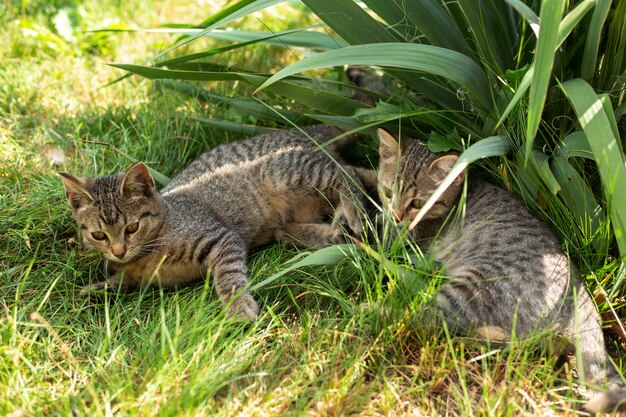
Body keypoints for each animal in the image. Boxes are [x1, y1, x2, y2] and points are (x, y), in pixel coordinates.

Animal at [58, 125, 370, 320]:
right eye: (99, 235)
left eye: (131, 228)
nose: (119, 251)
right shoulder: (132, 276)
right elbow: (118, 282)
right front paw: (89, 291)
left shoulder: (221, 238)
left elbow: (229, 276)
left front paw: (239, 307)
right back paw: (323, 232)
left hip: (284, 171)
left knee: (349, 172)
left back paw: (354, 212)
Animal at [376, 130, 624, 412]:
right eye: (388, 192)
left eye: (418, 202)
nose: (396, 215)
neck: (459, 196)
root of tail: (580, 295)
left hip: (472, 286)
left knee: (424, 319)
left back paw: (372, 311)